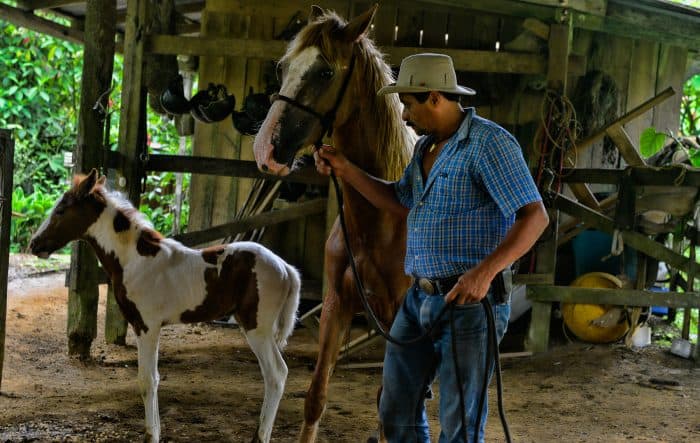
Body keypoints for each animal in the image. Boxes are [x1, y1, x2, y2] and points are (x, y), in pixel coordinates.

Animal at [30, 170, 300, 443]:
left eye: (61, 210)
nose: (34, 244)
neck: (135, 259)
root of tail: (285, 267)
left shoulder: (147, 327)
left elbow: (147, 381)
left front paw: (151, 435)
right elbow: (153, 379)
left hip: (257, 328)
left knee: (275, 375)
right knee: (278, 373)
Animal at [252, 5, 416, 442]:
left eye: (325, 72)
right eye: (282, 67)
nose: (265, 149)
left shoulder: (400, 319)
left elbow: (390, 403)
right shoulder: (336, 304)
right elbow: (316, 396)